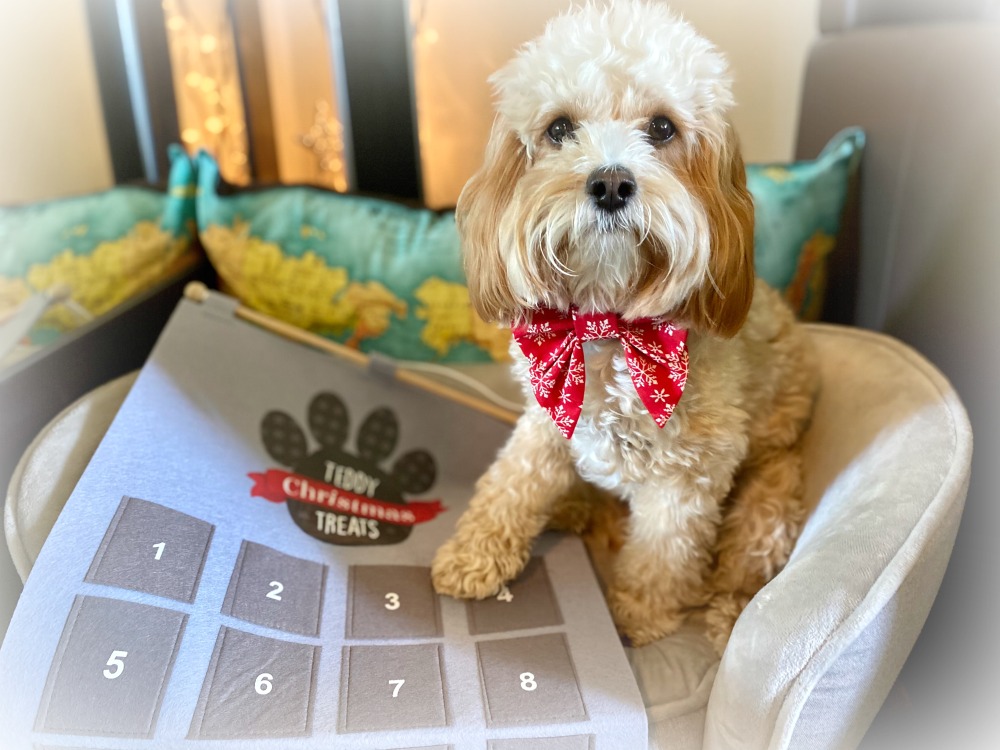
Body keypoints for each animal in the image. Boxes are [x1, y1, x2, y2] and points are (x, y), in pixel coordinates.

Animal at [426, 0, 816, 652]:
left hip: (773, 489)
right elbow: (510, 485)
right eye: (559, 129)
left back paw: (726, 611)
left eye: (662, 128)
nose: (610, 183)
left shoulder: (689, 477)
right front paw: (474, 553)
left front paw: (637, 614)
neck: (606, 324)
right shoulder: (546, 421)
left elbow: (662, 554)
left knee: (744, 562)